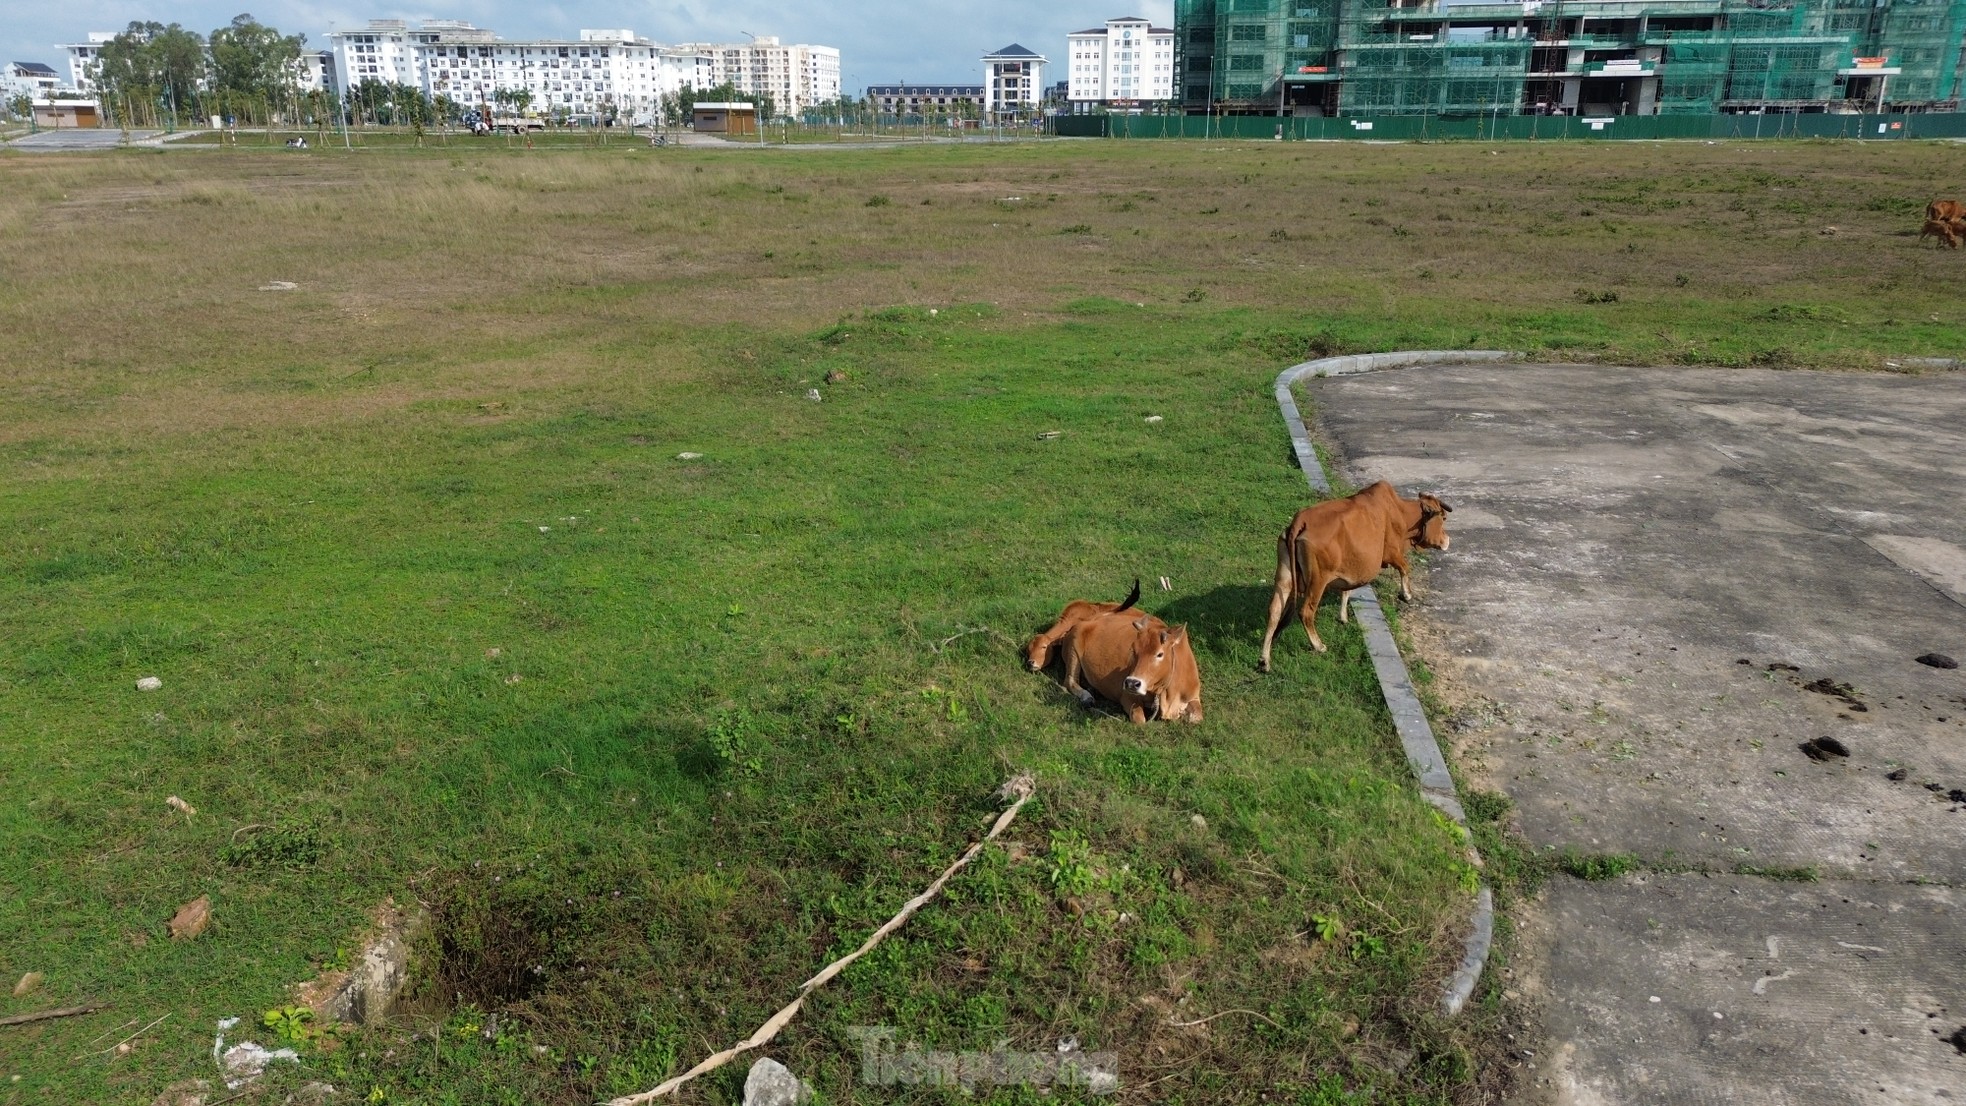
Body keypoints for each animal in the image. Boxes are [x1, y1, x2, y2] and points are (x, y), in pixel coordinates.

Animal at [1061, 608, 1195, 722]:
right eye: (1133, 650)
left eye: (1160, 654)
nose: (1131, 683)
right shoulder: (1127, 697)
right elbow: (1140, 720)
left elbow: (1195, 718)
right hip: (1074, 647)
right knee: (1070, 680)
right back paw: (1087, 696)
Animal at [1258, 481, 1446, 671]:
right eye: (1443, 518)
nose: (1446, 540)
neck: (1400, 512)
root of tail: (1300, 520)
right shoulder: (1391, 552)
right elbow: (1405, 568)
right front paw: (1406, 595)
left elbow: (1346, 590)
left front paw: (1343, 617)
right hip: (1318, 580)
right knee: (1306, 612)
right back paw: (1318, 645)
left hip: (1284, 576)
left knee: (1274, 611)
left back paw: (1264, 659)